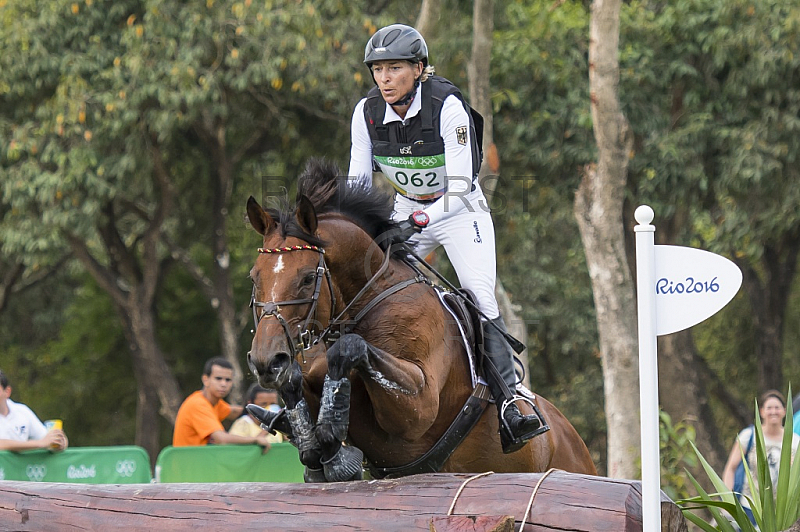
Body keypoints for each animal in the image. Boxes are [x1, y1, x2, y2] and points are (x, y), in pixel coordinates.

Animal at [247, 158, 596, 482]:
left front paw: (332, 440)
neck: (369, 301)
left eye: (308, 278)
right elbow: (297, 378)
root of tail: (572, 437)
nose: (266, 361)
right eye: (254, 277)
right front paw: (315, 447)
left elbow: (349, 348)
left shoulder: (419, 405)